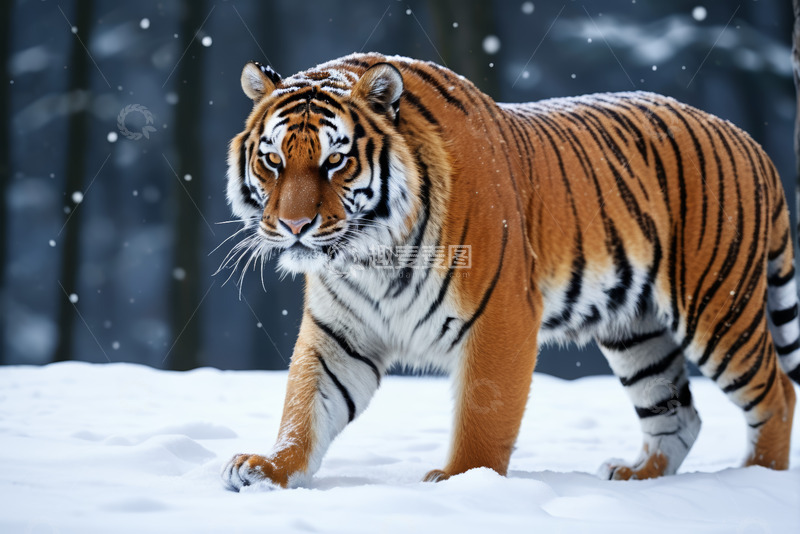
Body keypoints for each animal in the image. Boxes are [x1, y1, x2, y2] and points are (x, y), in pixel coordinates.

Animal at [220, 52, 799, 490]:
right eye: (272, 161)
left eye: (334, 162)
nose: (295, 225)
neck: (373, 259)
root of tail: (750, 141)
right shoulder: (339, 332)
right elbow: (306, 407)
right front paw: (269, 470)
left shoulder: (501, 318)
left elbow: (484, 411)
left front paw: (460, 480)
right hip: (637, 332)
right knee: (678, 414)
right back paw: (637, 475)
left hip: (716, 307)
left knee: (777, 393)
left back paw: (756, 478)